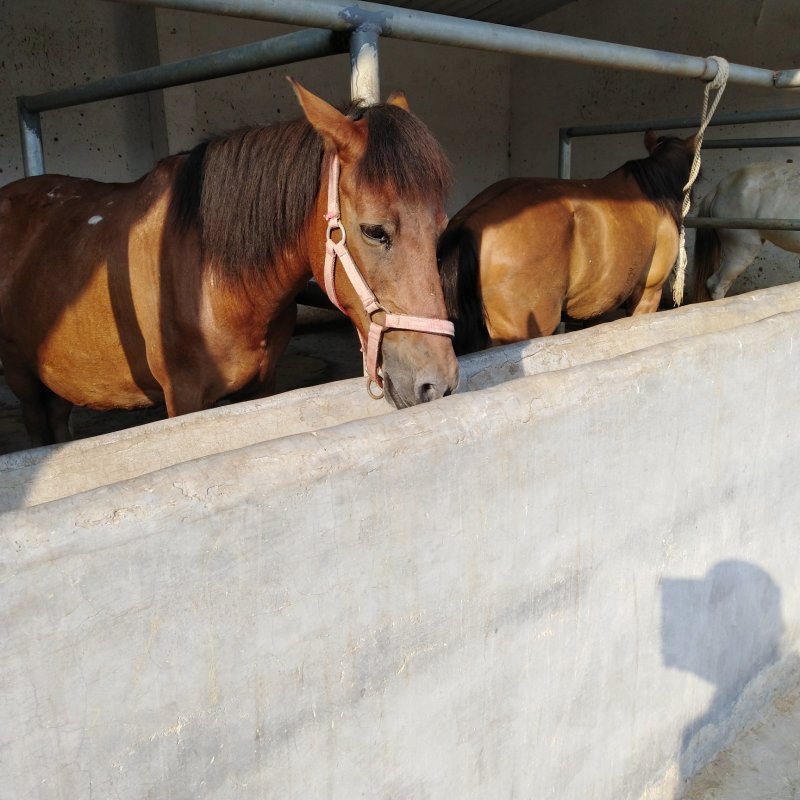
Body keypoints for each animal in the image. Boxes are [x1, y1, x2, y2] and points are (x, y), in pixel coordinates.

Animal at [0, 79, 458, 446]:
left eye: (441, 229)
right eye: (374, 231)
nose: (437, 383)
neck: (212, 274)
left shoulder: (261, 386)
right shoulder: (182, 398)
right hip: (24, 383)